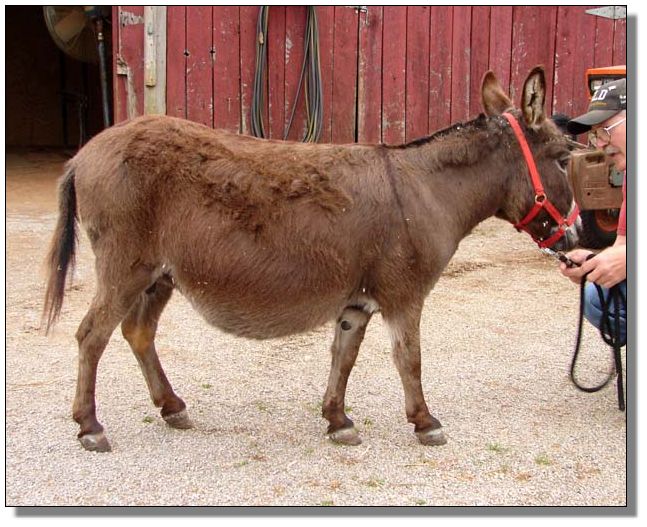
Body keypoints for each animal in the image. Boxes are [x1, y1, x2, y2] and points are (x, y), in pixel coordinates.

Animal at [43, 66, 579, 452]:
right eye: (562, 159)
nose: (575, 239)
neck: (426, 190)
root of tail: (84, 153)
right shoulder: (404, 294)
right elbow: (410, 358)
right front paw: (426, 422)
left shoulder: (357, 302)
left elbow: (344, 356)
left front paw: (338, 420)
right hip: (125, 265)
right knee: (91, 335)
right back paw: (90, 427)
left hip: (160, 274)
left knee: (138, 332)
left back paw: (172, 407)